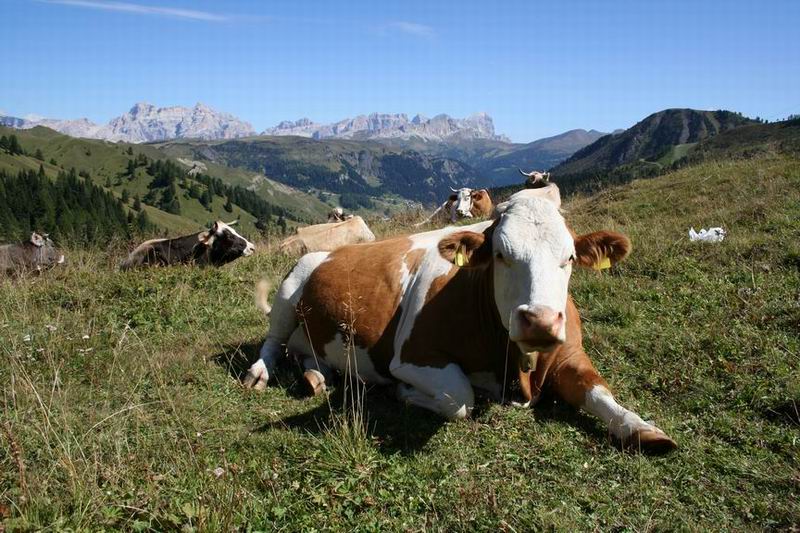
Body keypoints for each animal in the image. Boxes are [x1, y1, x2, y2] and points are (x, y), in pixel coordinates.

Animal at [244, 187, 676, 454]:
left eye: (568, 257)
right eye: (501, 254)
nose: (539, 321)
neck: (512, 364)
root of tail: (335, 250)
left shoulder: (568, 353)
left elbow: (598, 391)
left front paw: (642, 427)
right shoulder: (413, 357)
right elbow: (460, 397)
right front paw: (406, 394)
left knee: (308, 353)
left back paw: (317, 376)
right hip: (291, 287)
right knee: (272, 342)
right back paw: (260, 374)